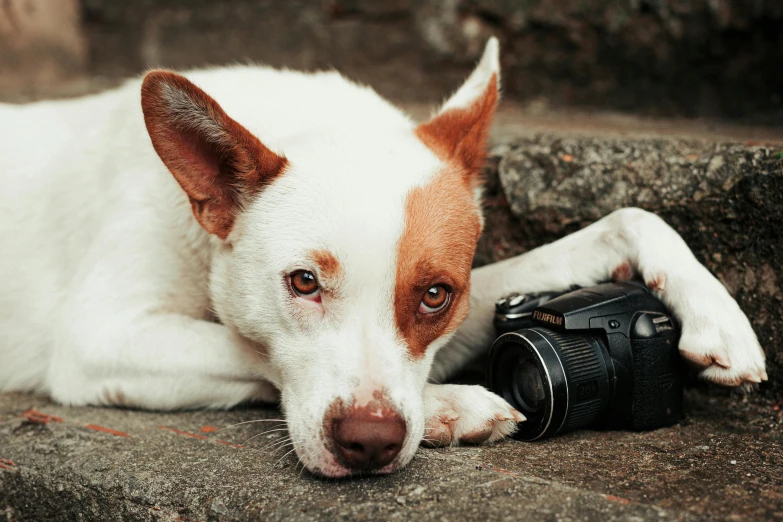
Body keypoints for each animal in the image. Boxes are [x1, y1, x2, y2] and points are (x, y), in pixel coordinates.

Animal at [0, 37, 764, 476]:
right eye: (302, 282)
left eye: (435, 296)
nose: (368, 442)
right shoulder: (99, 339)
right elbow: (248, 350)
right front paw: (447, 403)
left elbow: (627, 217)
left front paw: (720, 322)